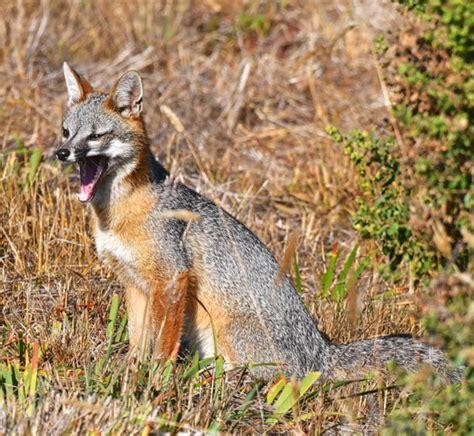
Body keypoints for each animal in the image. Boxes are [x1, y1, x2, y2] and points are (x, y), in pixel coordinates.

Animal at [55, 63, 462, 384]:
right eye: (66, 131)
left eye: (96, 135)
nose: (61, 152)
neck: (118, 215)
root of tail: (320, 351)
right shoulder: (135, 283)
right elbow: (139, 340)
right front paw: (130, 372)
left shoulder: (172, 278)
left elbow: (162, 344)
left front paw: (156, 377)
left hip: (228, 331)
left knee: (279, 379)